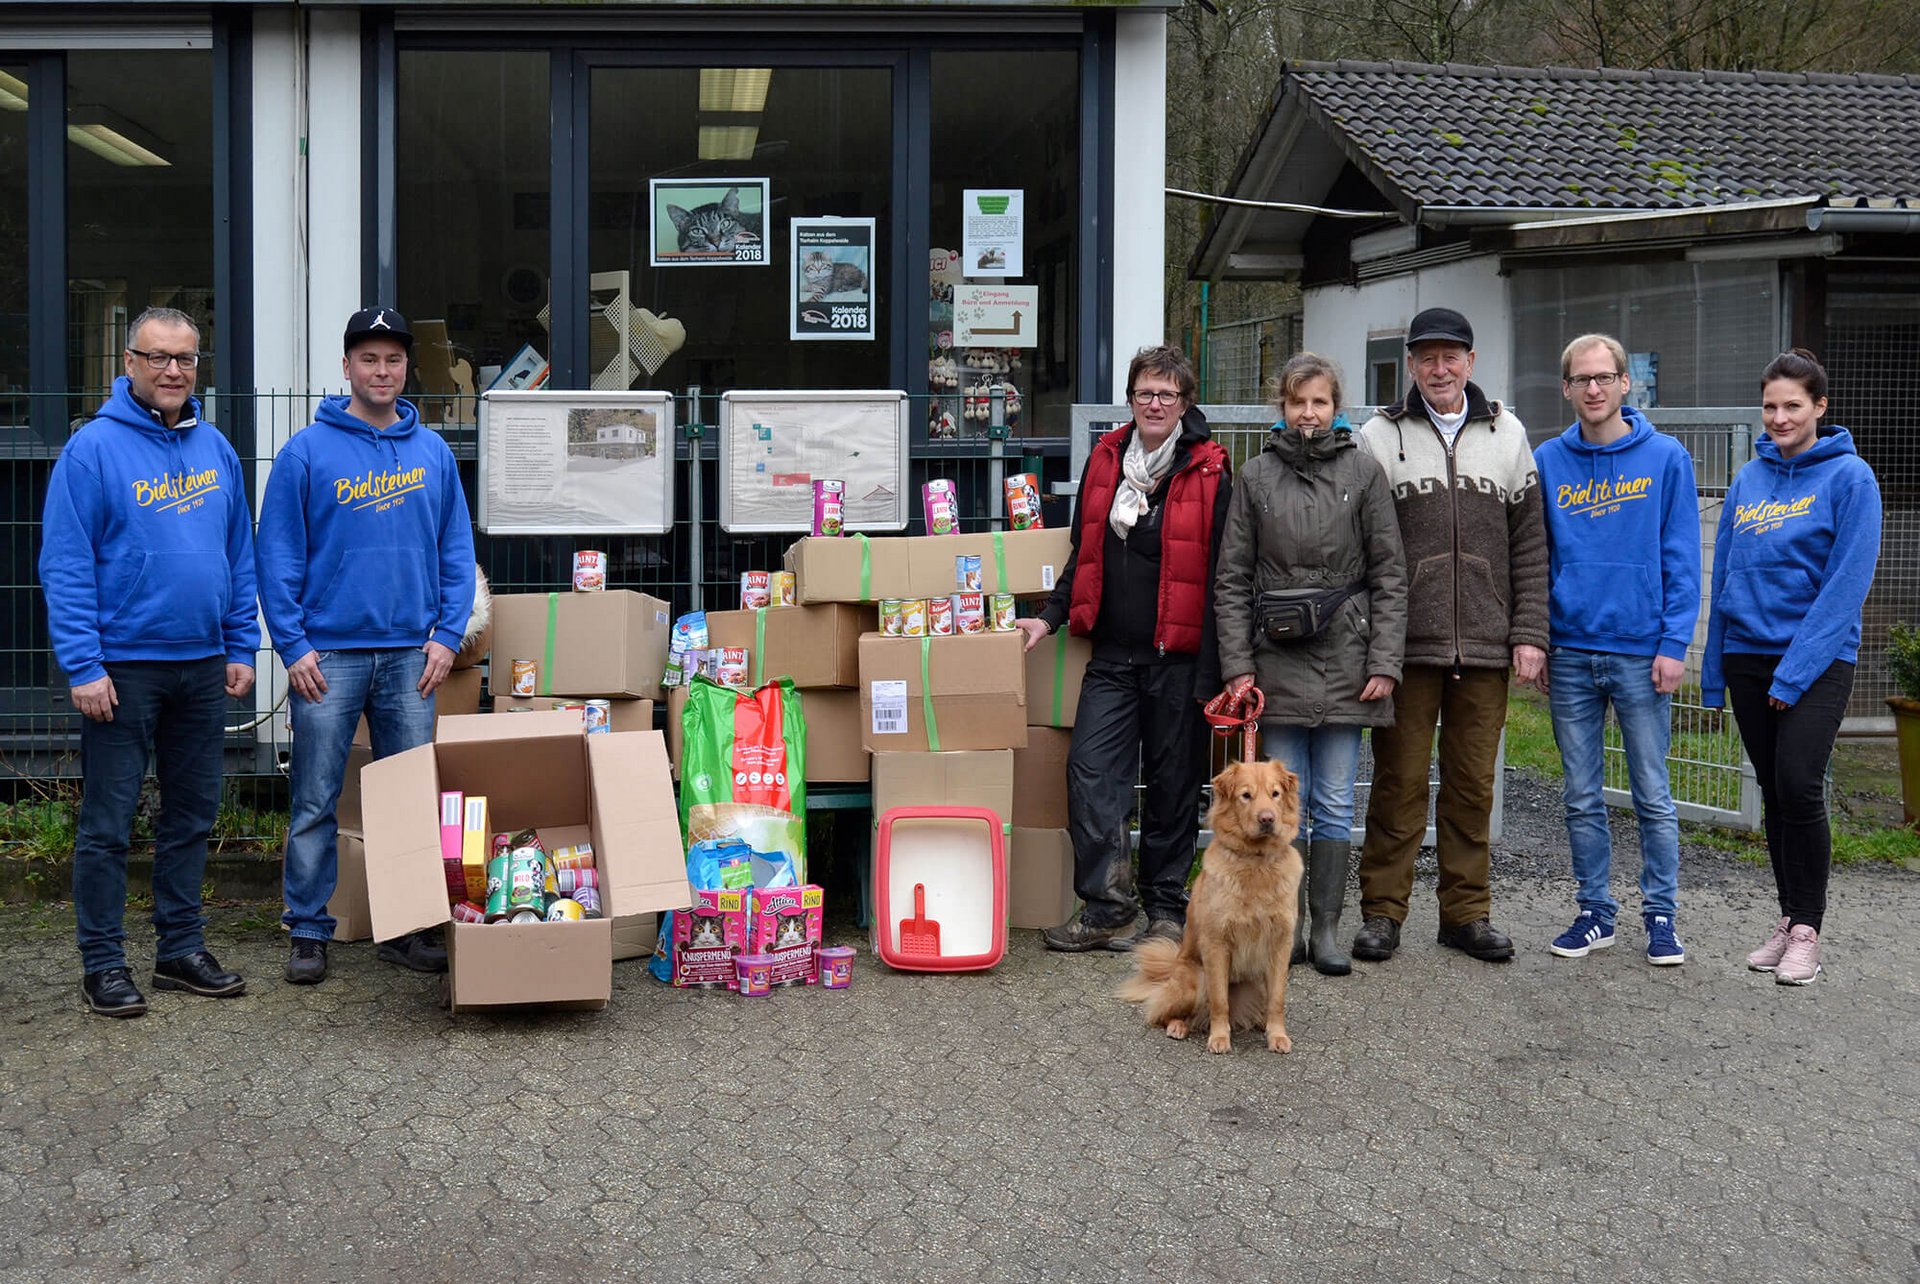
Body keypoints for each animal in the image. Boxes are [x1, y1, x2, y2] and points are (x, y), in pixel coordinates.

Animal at [1121, 760, 1297, 1051]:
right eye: (1246, 795)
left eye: (1275, 794)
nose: (1267, 819)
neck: (1256, 863)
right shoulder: (1216, 943)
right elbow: (1219, 1000)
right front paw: (1219, 1037)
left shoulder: (1281, 943)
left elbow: (1278, 999)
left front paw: (1277, 1035)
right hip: (1194, 981)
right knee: (1163, 1014)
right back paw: (1178, 1026)